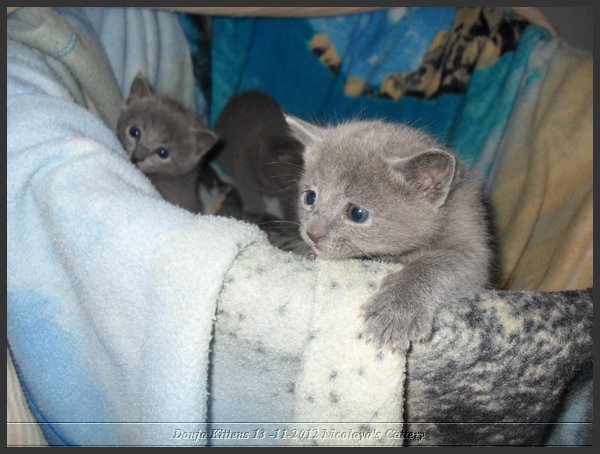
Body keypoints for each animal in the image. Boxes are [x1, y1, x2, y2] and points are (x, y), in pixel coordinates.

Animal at [286, 117, 492, 352]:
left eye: (356, 213)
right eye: (310, 197)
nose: (312, 233)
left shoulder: (472, 242)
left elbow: (436, 264)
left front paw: (396, 312)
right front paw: (308, 254)